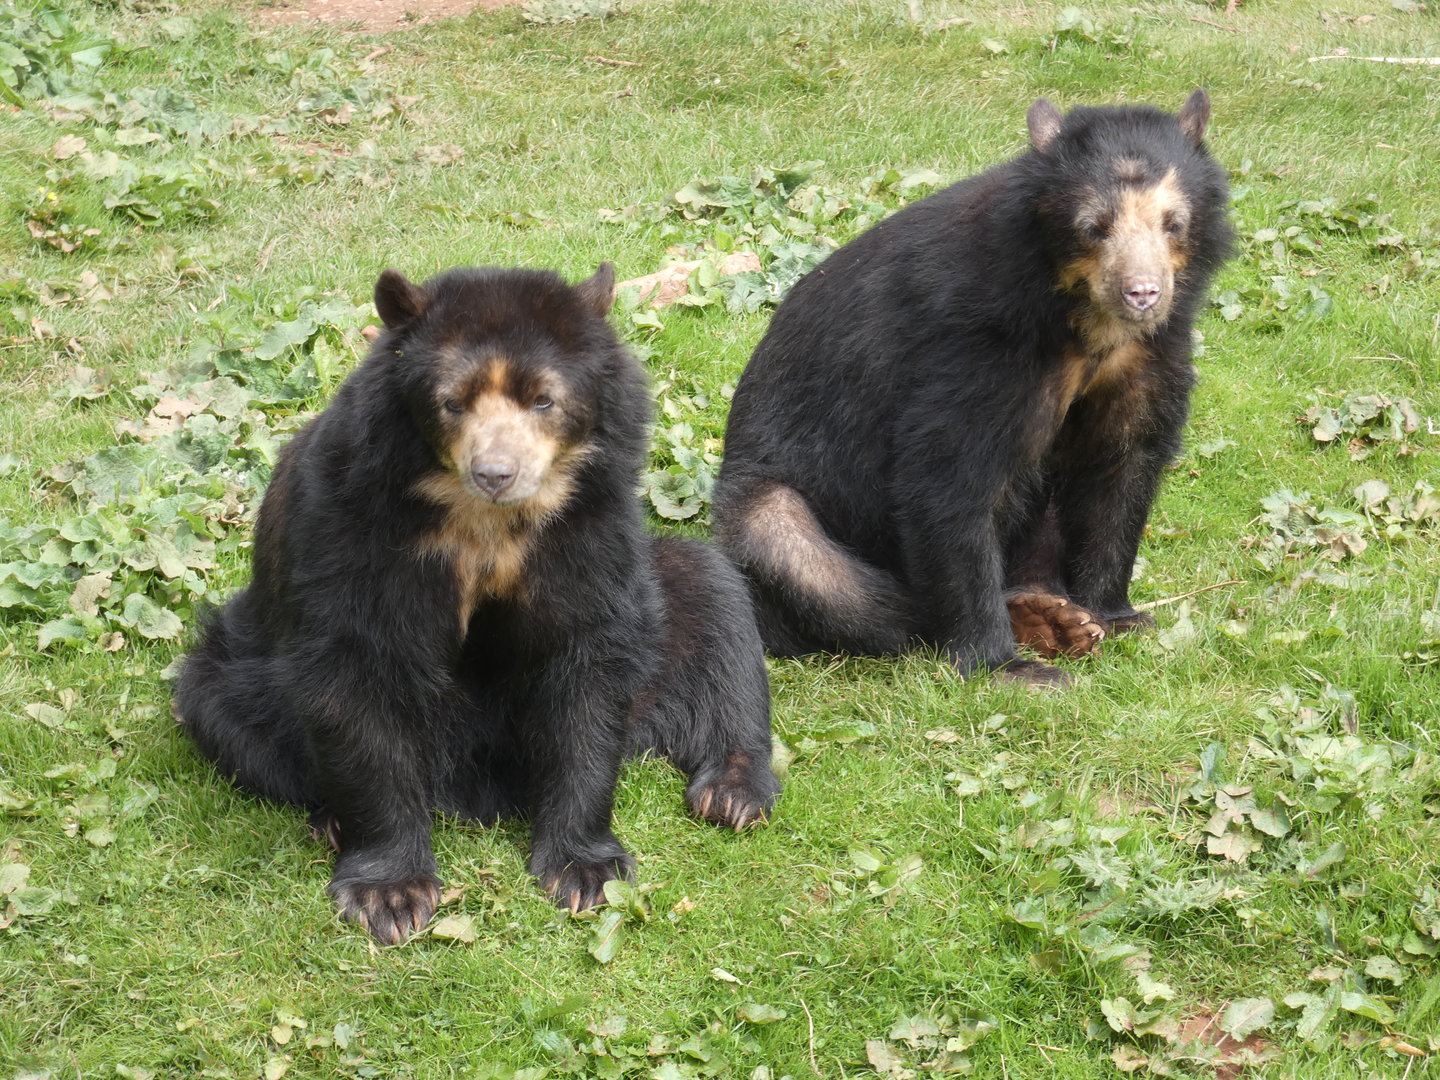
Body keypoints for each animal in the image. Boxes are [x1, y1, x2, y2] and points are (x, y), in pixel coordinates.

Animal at [174, 264, 780, 944]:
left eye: (543, 399)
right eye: (452, 401)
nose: (496, 472)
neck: (485, 521)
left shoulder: (591, 532)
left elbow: (590, 670)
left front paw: (585, 871)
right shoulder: (346, 528)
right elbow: (353, 677)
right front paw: (390, 895)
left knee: (716, 600)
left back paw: (731, 794)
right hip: (231, 671)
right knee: (223, 710)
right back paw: (329, 820)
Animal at [711, 90, 1234, 687]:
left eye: (1173, 223)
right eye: (1094, 227)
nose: (1142, 293)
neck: (1086, 323)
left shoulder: (1149, 355)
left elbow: (1124, 466)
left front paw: (1118, 616)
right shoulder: (977, 347)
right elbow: (949, 479)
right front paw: (1009, 667)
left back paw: (1054, 615)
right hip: (769, 512)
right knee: (803, 557)